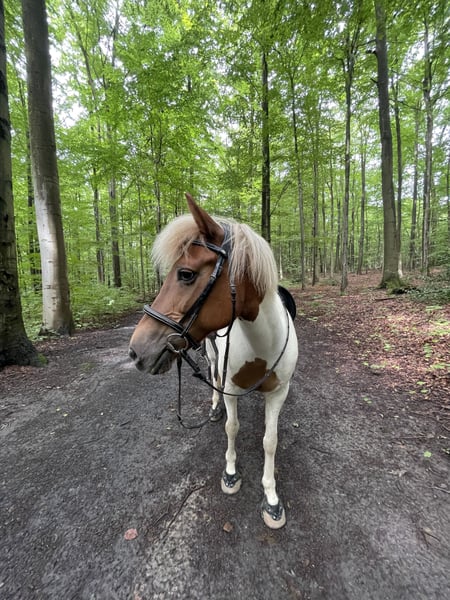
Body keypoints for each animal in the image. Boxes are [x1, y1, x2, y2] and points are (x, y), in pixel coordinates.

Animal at [129, 194, 298, 528]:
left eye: (186, 274)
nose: (137, 351)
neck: (263, 343)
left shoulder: (278, 392)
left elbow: (270, 440)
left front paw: (271, 499)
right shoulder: (231, 388)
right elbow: (232, 427)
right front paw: (231, 473)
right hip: (210, 350)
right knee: (213, 376)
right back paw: (214, 406)